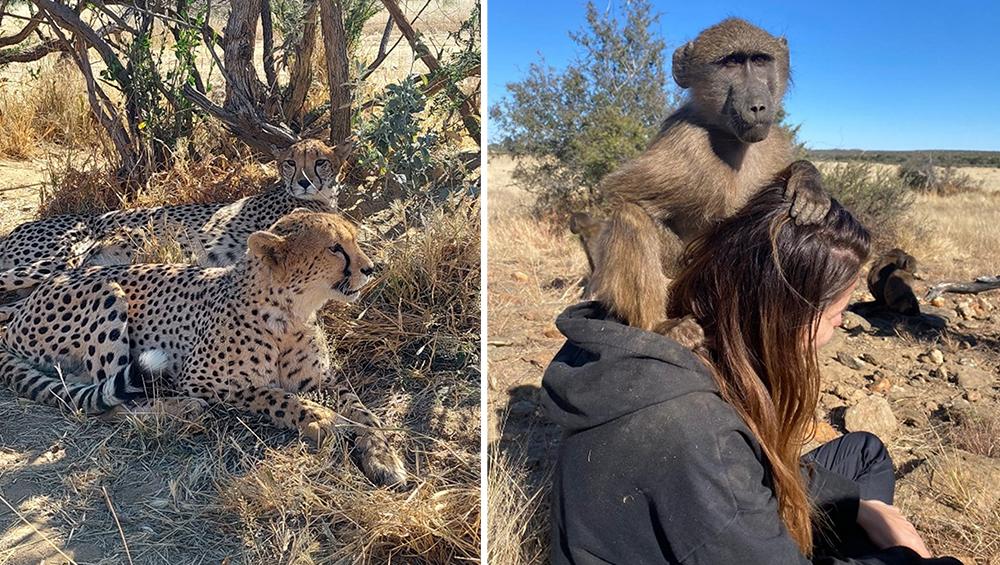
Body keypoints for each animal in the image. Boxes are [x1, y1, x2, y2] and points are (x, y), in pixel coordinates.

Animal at [0, 209, 410, 486]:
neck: (292, 311)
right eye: (335, 248)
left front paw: (383, 454)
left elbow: (364, 411)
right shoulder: (202, 379)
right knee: (107, 405)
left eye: (354, 240)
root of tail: (19, 311)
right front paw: (321, 418)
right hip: (106, 292)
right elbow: (275, 396)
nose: (372, 268)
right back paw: (182, 409)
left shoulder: (322, 379)